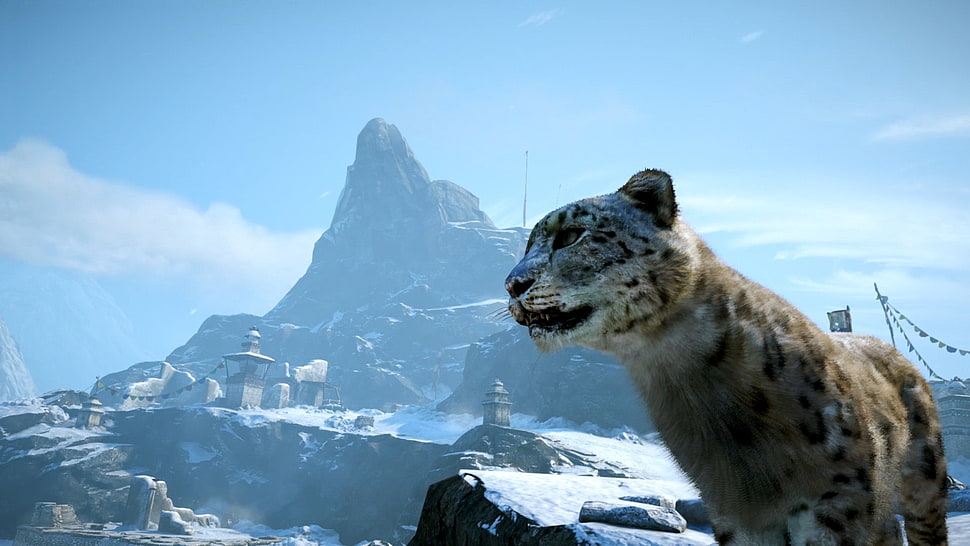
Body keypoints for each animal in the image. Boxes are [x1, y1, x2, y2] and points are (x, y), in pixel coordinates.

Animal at [505, 169, 948, 545]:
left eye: (571, 235)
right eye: (527, 245)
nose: (512, 283)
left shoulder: (837, 500)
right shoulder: (734, 511)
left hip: (924, 485)